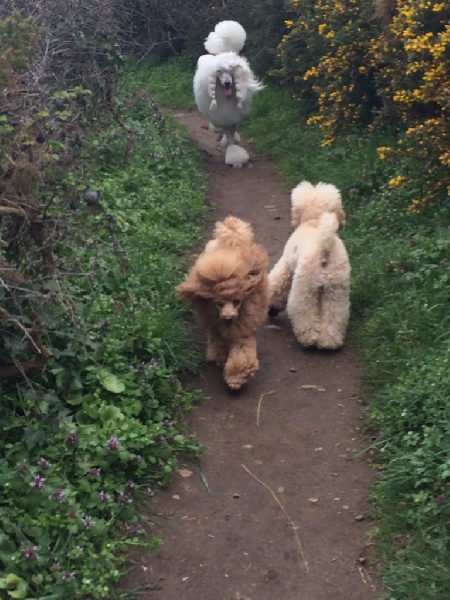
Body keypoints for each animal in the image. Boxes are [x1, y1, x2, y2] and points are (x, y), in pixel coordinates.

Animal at [176, 216, 269, 390]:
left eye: (237, 301)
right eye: (218, 303)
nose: (228, 317)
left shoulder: (243, 328)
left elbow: (242, 354)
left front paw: (236, 377)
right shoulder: (214, 322)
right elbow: (217, 339)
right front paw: (219, 357)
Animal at [193, 21, 264, 167]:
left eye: (231, 70)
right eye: (219, 72)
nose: (227, 83)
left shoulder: (234, 116)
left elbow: (233, 132)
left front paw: (234, 144)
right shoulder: (224, 118)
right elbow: (229, 136)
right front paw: (235, 157)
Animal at [268, 181, 351, 349]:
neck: (314, 221)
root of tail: (325, 246)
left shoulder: (286, 265)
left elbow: (276, 284)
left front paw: (272, 308)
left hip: (305, 287)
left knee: (303, 312)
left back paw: (309, 338)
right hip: (336, 291)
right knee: (334, 315)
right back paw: (329, 341)